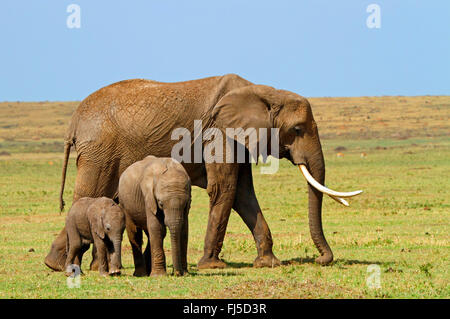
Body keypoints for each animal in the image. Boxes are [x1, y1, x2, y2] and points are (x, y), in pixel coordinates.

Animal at [44, 75, 362, 272]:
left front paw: (268, 262)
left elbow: (243, 194)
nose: (322, 260)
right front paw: (212, 265)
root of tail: (74, 121)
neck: (264, 91)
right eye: (297, 130)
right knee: (88, 195)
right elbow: (225, 190)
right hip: (100, 152)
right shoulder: (219, 133)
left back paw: (59, 265)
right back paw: (61, 266)